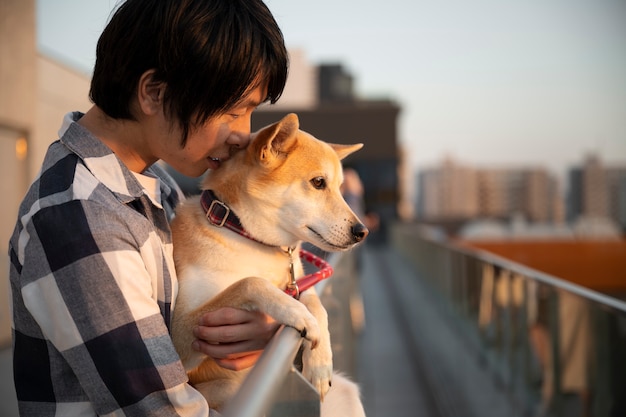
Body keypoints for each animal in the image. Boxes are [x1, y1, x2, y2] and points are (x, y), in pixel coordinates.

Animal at [169, 112, 366, 414]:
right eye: (318, 182)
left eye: (339, 187)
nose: (362, 231)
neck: (247, 236)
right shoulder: (179, 331)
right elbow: (250, 283)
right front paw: (296, 314)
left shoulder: (299, 282)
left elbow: (317, 305)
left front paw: (320, 364)